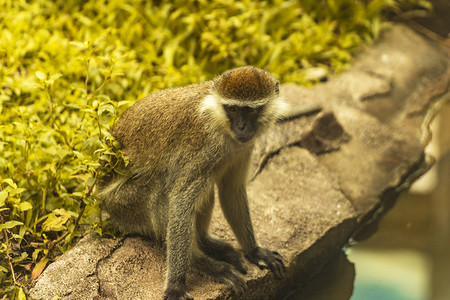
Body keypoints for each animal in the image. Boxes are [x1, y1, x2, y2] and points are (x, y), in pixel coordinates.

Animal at [98, 66, 288, 300]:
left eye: (251, 111)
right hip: (123, 204)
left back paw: (207, 243)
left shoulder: (243, 147)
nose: (242, 127)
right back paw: (203, 263)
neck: (220, 123)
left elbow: (231, 190)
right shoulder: (206, 148)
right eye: (233, 109)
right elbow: (180, 200)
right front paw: (176, 286)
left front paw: (254, 251)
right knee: (162, 190)